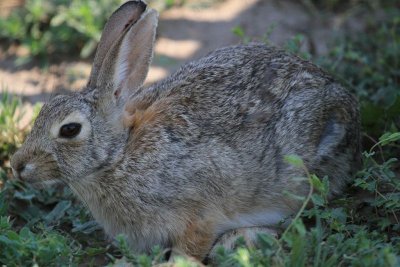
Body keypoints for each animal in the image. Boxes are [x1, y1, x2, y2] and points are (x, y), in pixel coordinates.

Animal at [10, 0, 360, 264]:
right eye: (44, 109)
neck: (119, 156)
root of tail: (345, 101)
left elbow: (189, 248)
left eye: (69, 129)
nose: (16, 165)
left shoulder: (199, 214)